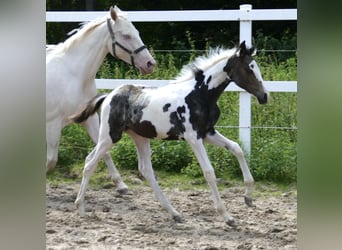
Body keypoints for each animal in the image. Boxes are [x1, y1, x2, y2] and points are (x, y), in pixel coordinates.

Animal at [46, 5, 156, 193]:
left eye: (137, 32)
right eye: (126, 35)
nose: (150, 64)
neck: (74, 75)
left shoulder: (88, 118)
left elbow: (103, 150)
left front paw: (121, 185)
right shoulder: (53, 123)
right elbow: (51, 161)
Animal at [70, 41, 268, 227]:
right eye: (249, 69)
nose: (264, 96)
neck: (199, 94)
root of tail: (108, 96)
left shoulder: (208, 133)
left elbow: (237, 148)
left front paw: (248, 197)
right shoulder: (193, 138)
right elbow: (209, 172)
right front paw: (227, 216)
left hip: (139, 137)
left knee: (144, 169)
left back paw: (174, 213)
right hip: (110, 136)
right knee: (90, 163)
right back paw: (80, 208)